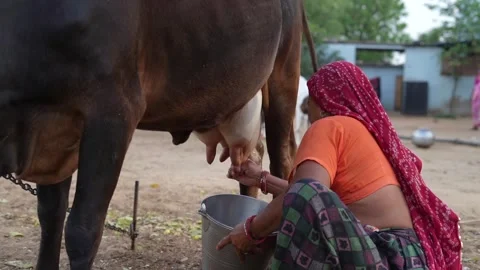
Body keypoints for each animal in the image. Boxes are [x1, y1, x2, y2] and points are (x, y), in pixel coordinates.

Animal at [0, 1, 318, 268]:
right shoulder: (56, 131)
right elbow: (51, 217)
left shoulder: (113, 112)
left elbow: (83, 229)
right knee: (250, 164)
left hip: (283, 77)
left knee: (283, 159)